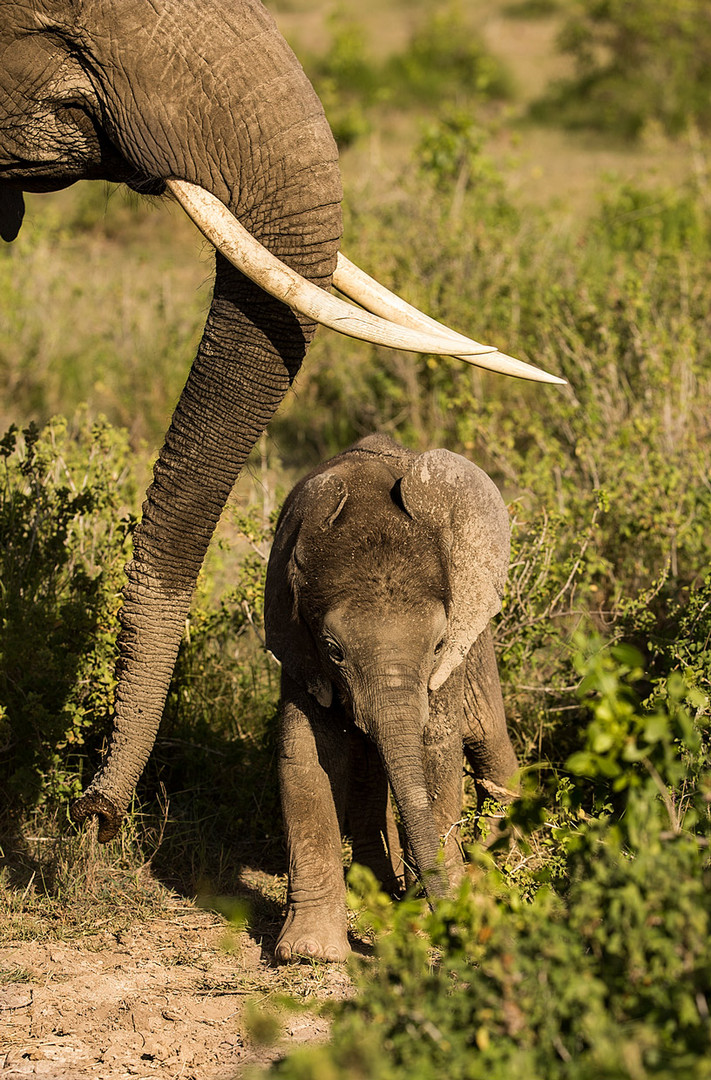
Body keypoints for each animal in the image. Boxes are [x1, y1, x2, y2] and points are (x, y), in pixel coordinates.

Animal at [264, 434, 514, 959]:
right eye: (334, 651)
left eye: (437, 645)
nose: (449, 927)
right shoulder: (298, 641)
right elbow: (307, 754)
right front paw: (310, 952)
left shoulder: (445, 662)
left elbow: (436, 746)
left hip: (479, 639)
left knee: (485, 732)